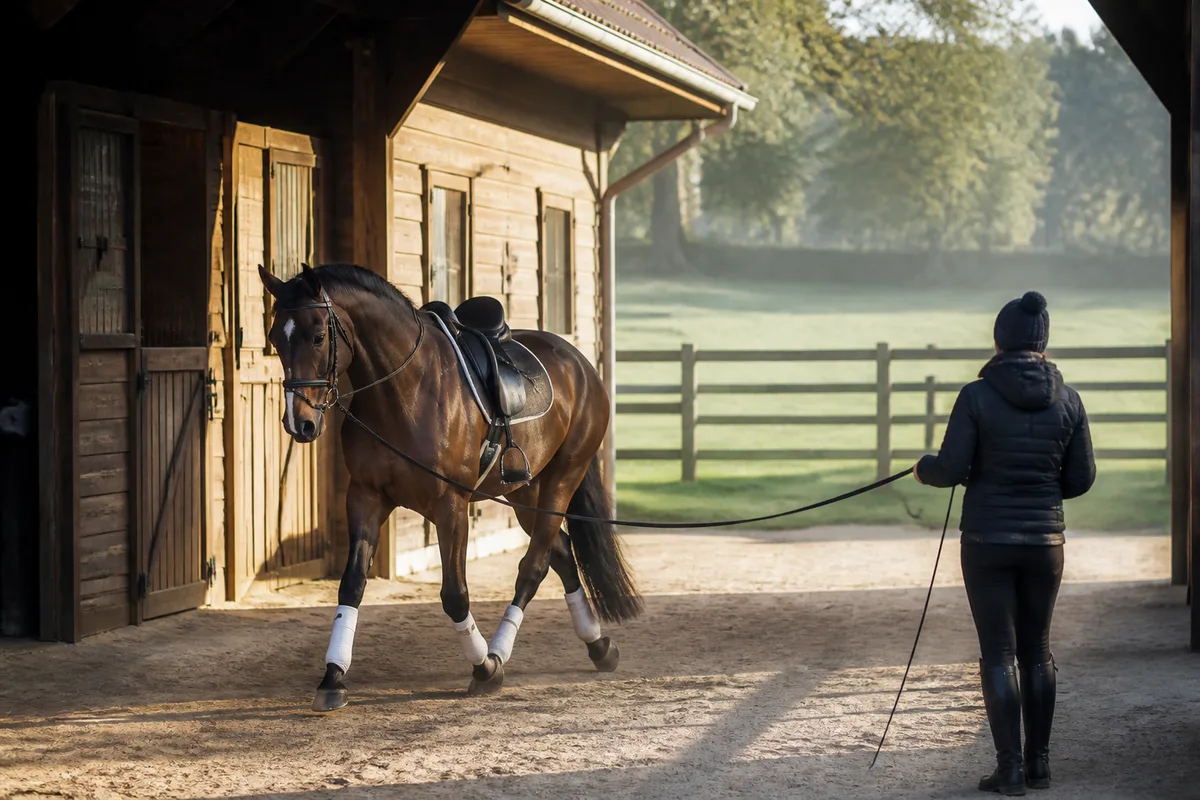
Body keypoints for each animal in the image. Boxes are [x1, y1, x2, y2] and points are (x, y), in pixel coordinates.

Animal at [258, 263, 642, 710]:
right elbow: (351, 584)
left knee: (534, 566)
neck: (404, 389)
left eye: (319, 335)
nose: (299, 424)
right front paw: (333, 676)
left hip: (564, 478)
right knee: (560, 554)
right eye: (274, 338)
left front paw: (485, 669)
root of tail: (579, 363)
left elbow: (454, 594)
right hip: (525, 493)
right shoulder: (366, 497)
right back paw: (598, 646)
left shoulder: (451, 506)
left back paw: (501, 652)